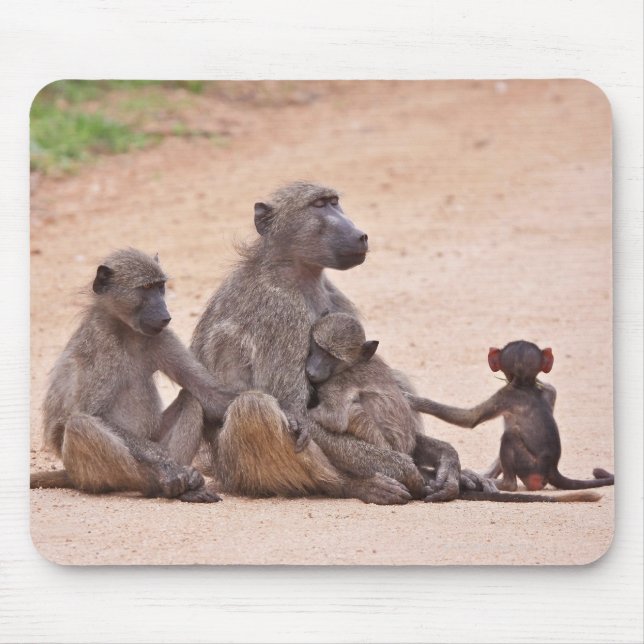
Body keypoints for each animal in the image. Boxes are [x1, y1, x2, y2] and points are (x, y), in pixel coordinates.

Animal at [30, 248, 238, 503]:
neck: (126, 330)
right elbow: (94, 414)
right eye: (146, 288)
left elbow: (210, 395)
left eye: (160, 287)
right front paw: (167, 467)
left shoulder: (162, 336)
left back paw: (186, 486)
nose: (165, 315)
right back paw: (160, 481)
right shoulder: (102, 345)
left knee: (191, 398)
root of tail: (69, 473)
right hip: (85, 472)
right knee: (80, 425)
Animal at [162, 182, 481, 504]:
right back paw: (356, 485)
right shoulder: (282, 312)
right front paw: (409, 469)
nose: (360, 235)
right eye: (318, 205)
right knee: (255, 407)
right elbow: (296, 414)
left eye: (334, 202)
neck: (293, 271)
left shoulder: (335, 300)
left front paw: (447, 461)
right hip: (233, 471)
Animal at [405, 340, 614, 495]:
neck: (525, 384)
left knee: (510, 436)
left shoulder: (505, 394)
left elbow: (470, 419)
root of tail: (552, 468)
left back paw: (504, 485)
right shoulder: (549, 390)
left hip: (530, 467)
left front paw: (415, 400)